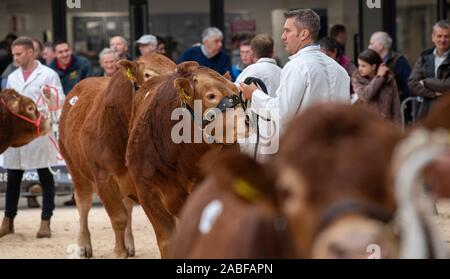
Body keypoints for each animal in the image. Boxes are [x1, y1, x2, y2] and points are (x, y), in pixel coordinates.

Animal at [58, 53, 174, 260]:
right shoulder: (103, 177)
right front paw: (119, 252)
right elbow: (118, 217)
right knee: (83, 203)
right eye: (147, 75)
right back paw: (84, 244)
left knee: (127, 205)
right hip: (75, 167)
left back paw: (129, 243)